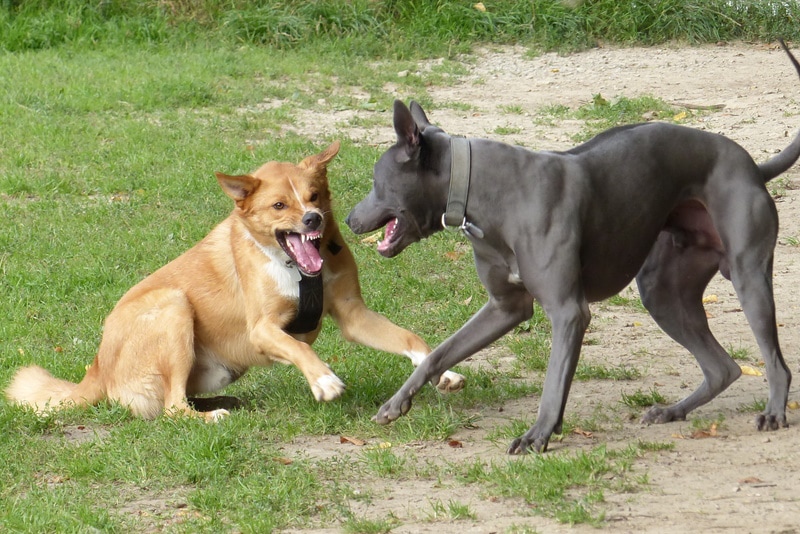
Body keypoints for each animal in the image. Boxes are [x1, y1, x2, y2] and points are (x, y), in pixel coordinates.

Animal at [6, 143, 462, 422]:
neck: (296, 270)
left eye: (314, 196)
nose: (313, 220)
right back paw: (212, 416)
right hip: (174, 306)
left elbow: (409, 338)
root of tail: (98, 368)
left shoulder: (353, 315)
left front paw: (442, 372)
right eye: (279, 205)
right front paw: (323, 379)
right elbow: (299, 348)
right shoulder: (263, 329)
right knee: (172, 408)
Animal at [350, 39, 800, 454]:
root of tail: (753, 166)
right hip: (664, 293)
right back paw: (672, 410)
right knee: (723, 368)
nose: (351, 219)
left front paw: (538, 434)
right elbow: (439, 353)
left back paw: (773, 412)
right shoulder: (505, 308)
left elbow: (554, 379)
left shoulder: (568, 312)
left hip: (747, 275)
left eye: (375, 181)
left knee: (775, 363)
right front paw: (396, 403)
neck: (483, 189)